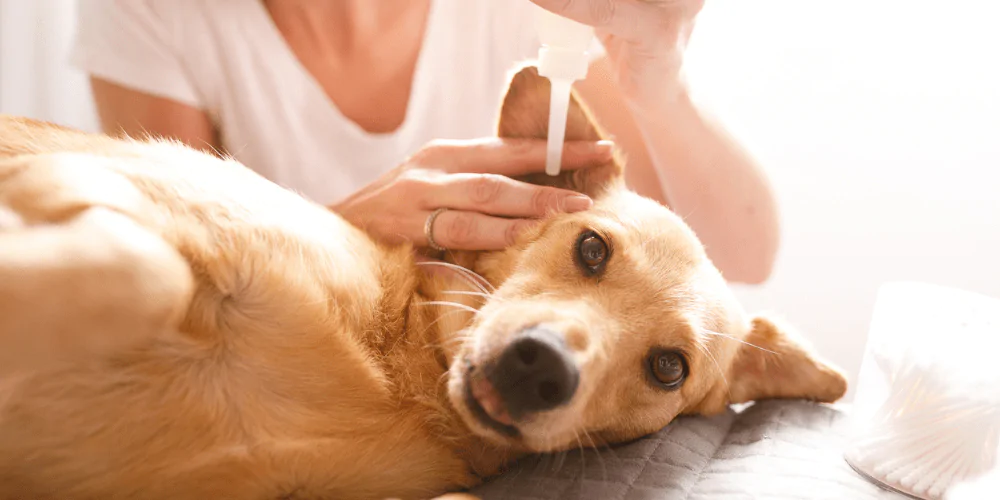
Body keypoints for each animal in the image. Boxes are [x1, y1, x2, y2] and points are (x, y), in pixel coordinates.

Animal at [0, 66, 844, 500]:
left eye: (669, 368)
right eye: (592, 248)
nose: (540, 368)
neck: (401, 379)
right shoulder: (101, 187)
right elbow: (135, 267)